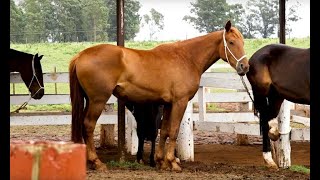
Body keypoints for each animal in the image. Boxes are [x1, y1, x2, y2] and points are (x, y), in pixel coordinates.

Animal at [69, 20, 250, 171]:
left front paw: (161, 161)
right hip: (97, 100)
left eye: (243, 42)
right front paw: (172, 162)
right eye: (231, 42)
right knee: (88, 125)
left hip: (89, 100)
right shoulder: (180, 102)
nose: (245, 66)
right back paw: (97, 162)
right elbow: (174, 130)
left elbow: (164, 131)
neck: (187, 58)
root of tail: (81, 55)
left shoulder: (168, 104)